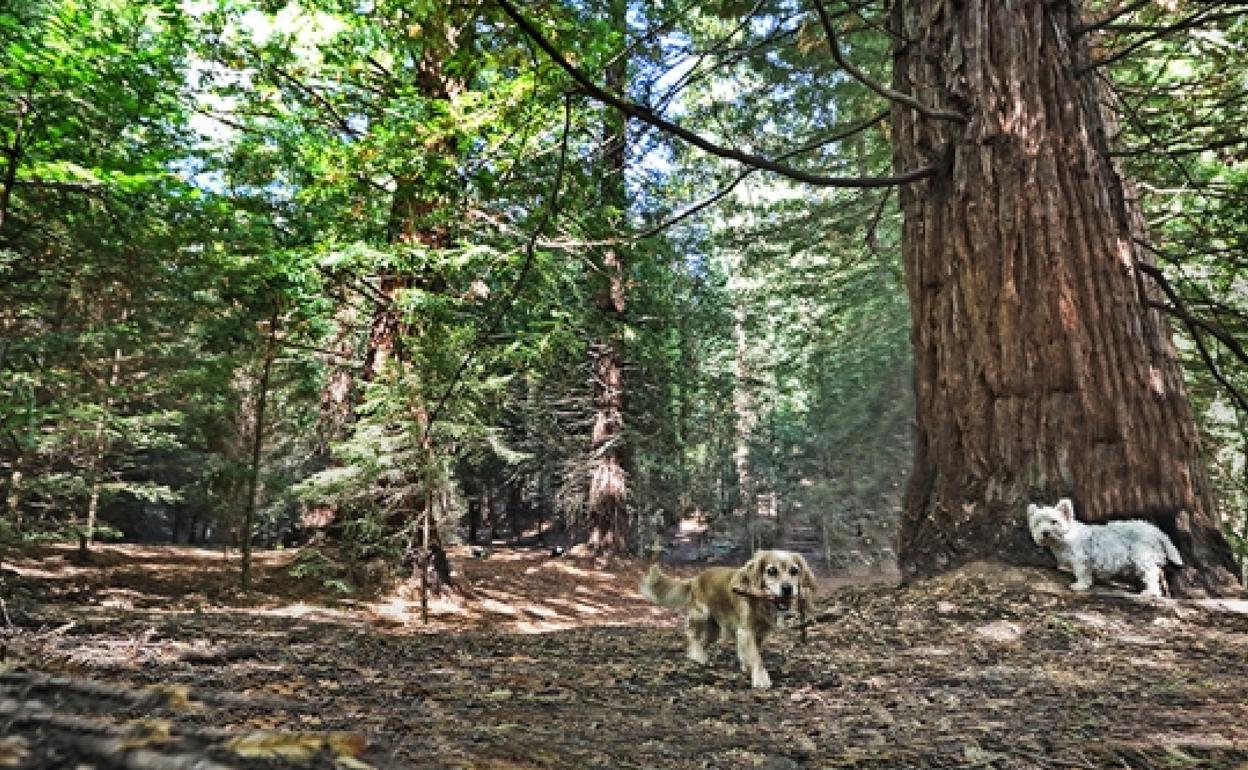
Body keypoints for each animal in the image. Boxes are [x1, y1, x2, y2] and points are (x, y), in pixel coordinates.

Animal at [643, 549, 818, 688]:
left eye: (794, 571)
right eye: (772, 571)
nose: (788, 588)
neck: (761, 602)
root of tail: (696, 578)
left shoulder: (760, 633)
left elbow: (752, 651)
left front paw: (747, 667)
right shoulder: (746, 630)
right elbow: (756, 656)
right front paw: (761, 678)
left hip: (714, 630)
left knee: (703, 640)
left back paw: (698, 654)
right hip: (701, 614)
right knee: (689, 632)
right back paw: (697, 655)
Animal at [1028, 496, 1183, 596]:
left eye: (1054, 522)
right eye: (1038, 523)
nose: (1045, 532)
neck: (1066, 537)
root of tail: (1155, 530)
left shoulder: (1080, 560)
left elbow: (1082, 573)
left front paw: (1080, 586)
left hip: (1143, 556)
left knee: (1151, 573)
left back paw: (1151, 592)